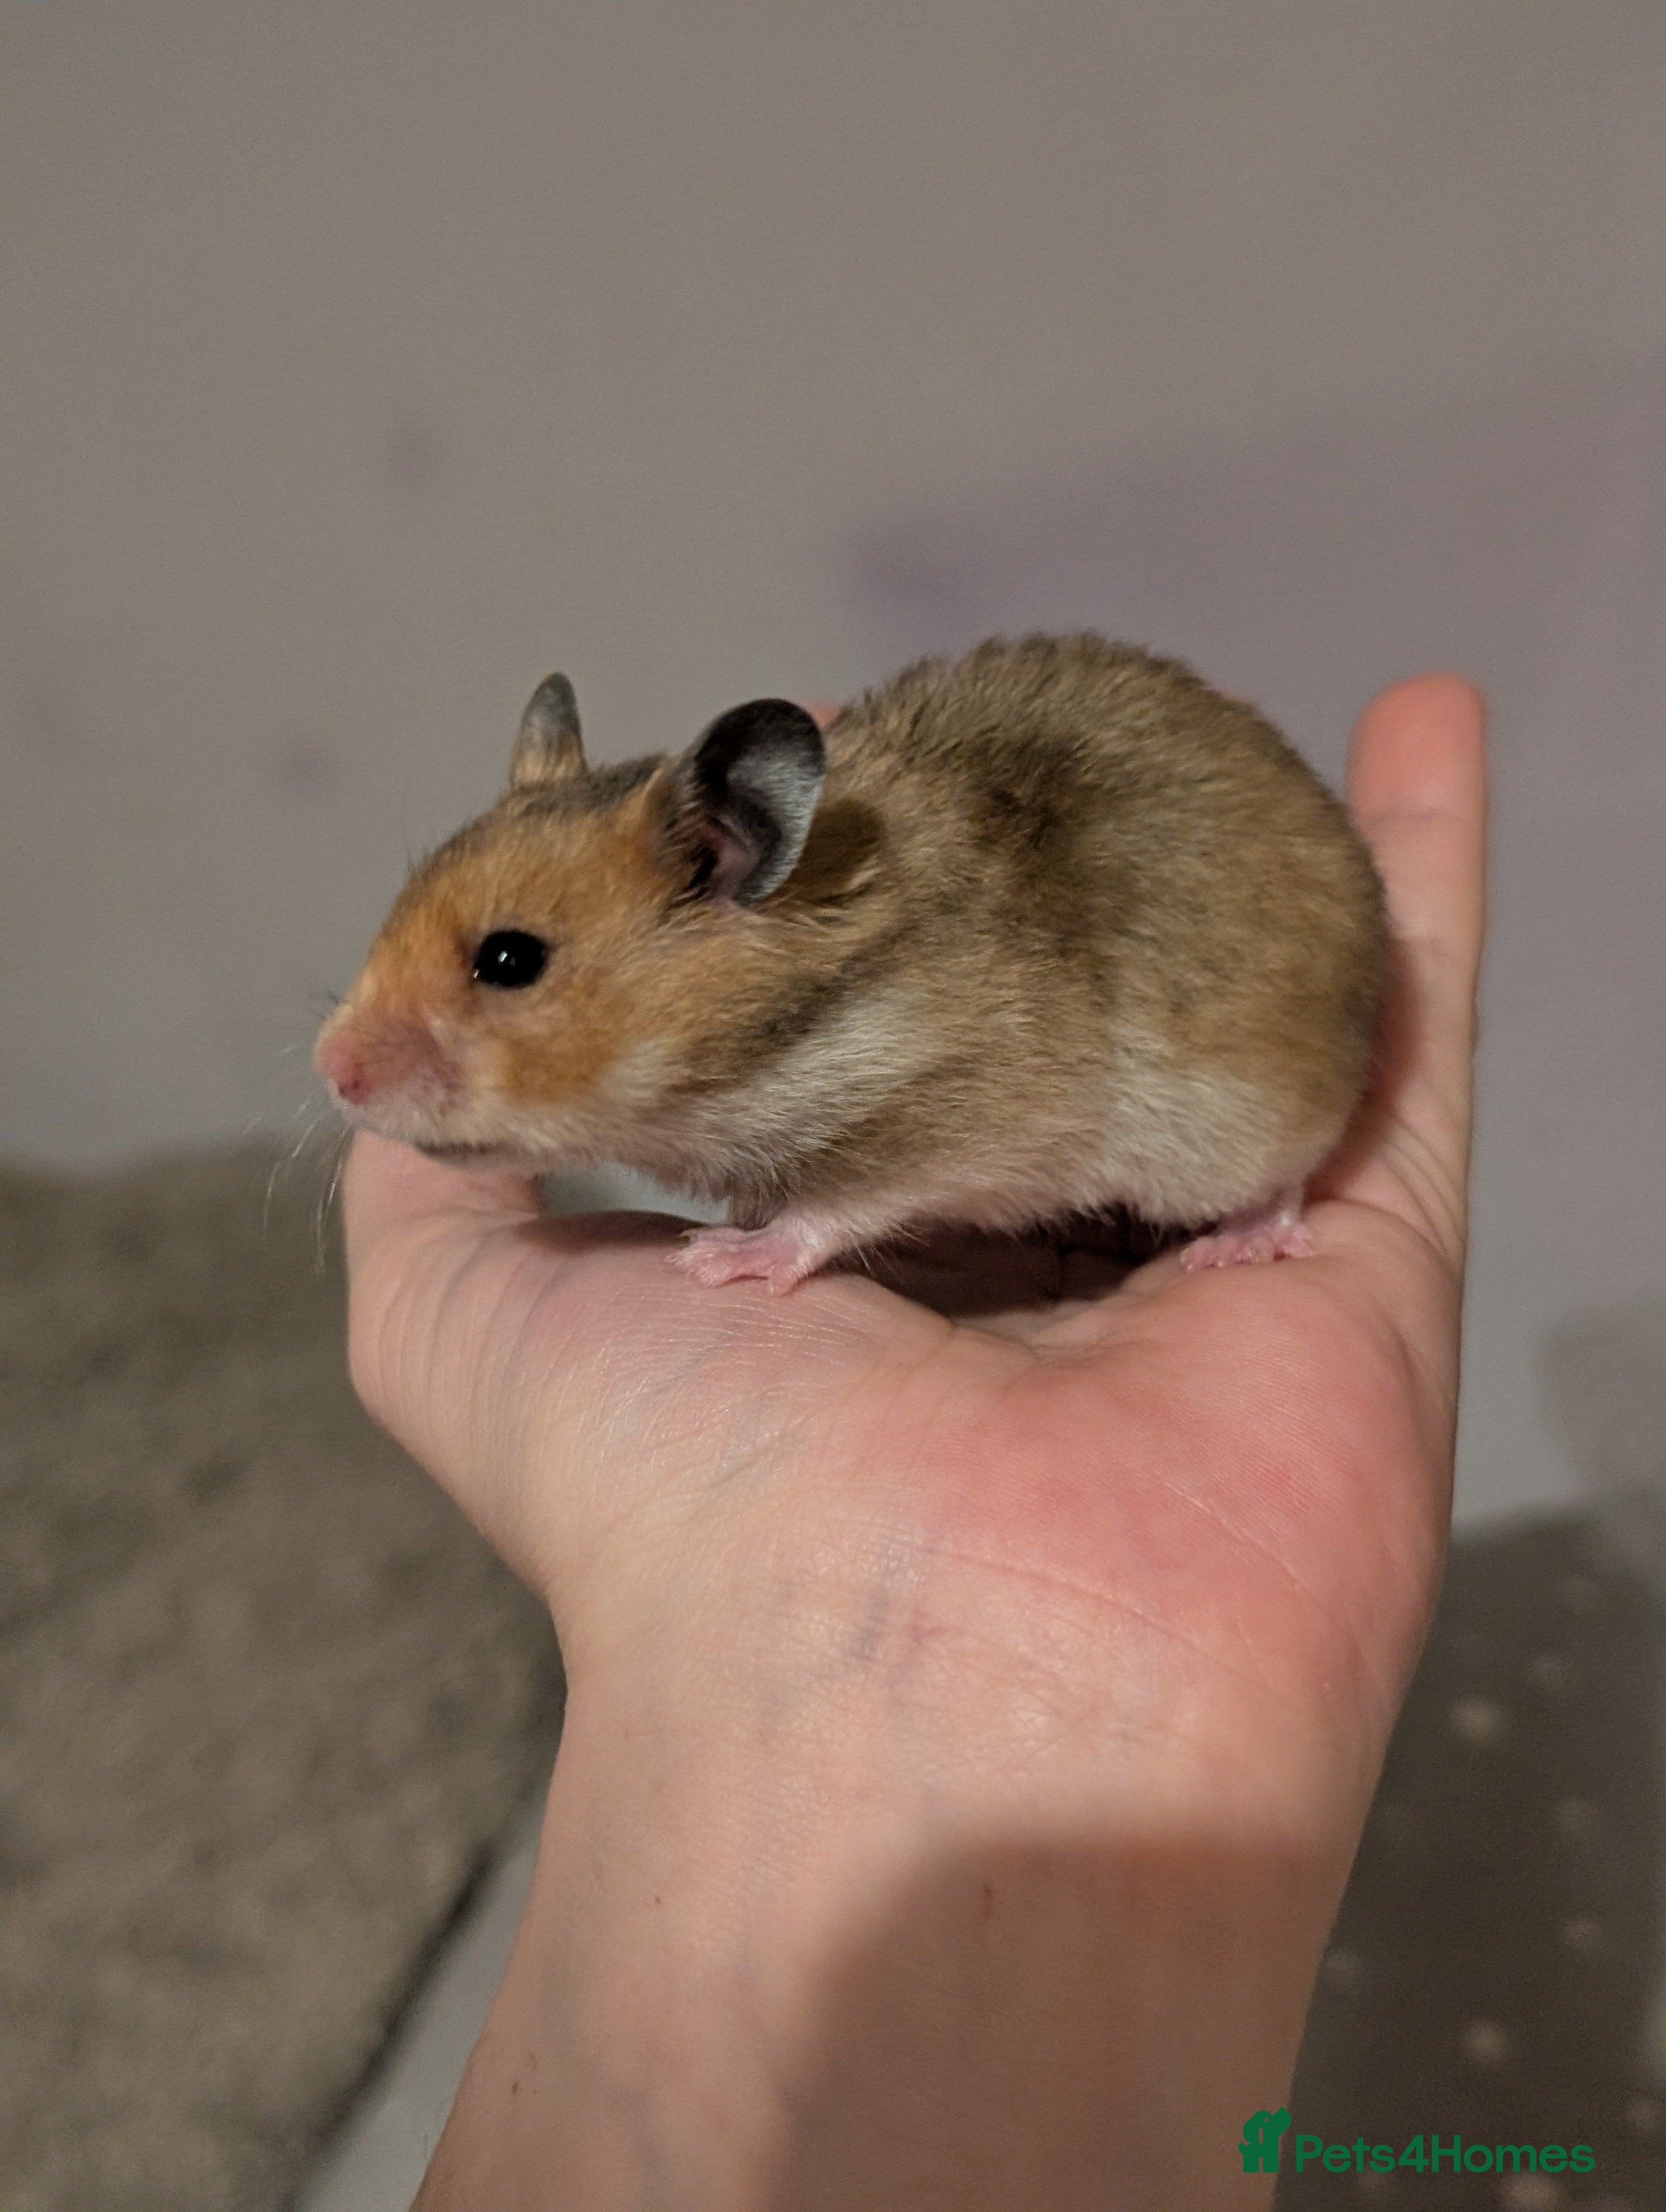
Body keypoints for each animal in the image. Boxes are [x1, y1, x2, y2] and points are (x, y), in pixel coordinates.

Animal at [315, 633, 1388, 1291]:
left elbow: (834, 1208)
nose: (332, 1072)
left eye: (509, 958)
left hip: (1245, 1126)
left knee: (1290, 1178)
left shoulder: (962, 1116)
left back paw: (1234, 1248)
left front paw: (715, 1260)